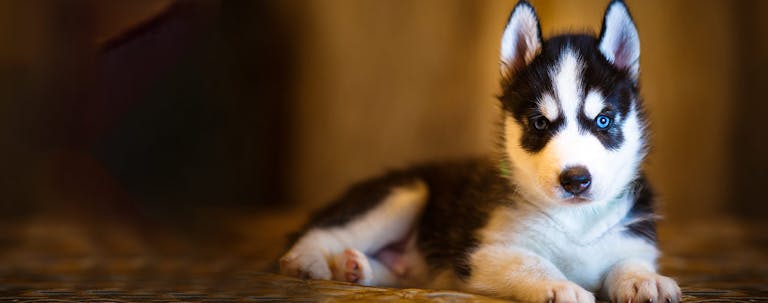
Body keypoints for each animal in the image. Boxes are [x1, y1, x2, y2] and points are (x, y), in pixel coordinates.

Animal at [280, 1, 680, 302]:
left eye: (603, 120)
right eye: (539, 124)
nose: (576, 180)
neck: (575, 221)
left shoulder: (633, 239)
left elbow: (629, 260)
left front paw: (645, 279)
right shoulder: (483, 252)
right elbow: (528, 262)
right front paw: (560, 285)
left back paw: (357, 268)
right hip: (408, 193)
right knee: (320, 232)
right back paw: (309, 261)